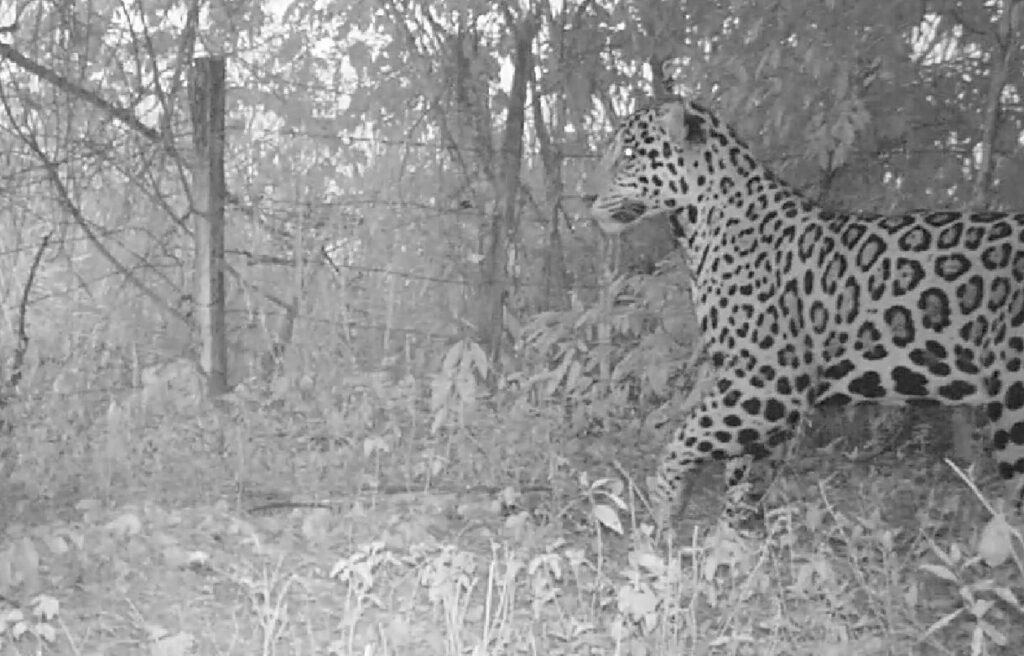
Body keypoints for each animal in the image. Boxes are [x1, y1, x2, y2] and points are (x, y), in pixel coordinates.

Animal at [588, 96, 1024, 527]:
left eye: (629, 154)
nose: (586, 197)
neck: (698, 229)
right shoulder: (761, 400)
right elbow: (745, 481)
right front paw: (728, 538)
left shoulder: (767, 379)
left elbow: (686, 438)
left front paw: (663, 502)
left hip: (1013, 403)